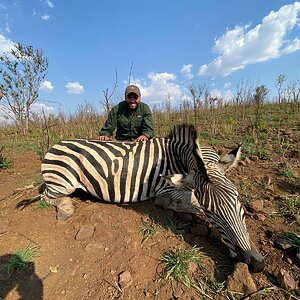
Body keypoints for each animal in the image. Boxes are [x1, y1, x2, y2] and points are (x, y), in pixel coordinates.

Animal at [40, 123, 264, 272]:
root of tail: (54, 145)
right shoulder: (167, 189)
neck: (179, 157)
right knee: (46, 196)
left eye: (239, 202)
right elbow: (190, 203)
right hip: (63, 180)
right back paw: (66, 208)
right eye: (211, 212)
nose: (256, 264)